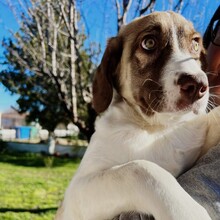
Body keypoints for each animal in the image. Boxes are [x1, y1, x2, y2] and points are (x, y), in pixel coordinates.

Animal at [55, 10, 220, 220]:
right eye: (149, 43)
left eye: (195, 44)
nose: (199, 85)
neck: (154, 128)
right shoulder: (78, 190)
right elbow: (140, 168)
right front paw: (186, 212)